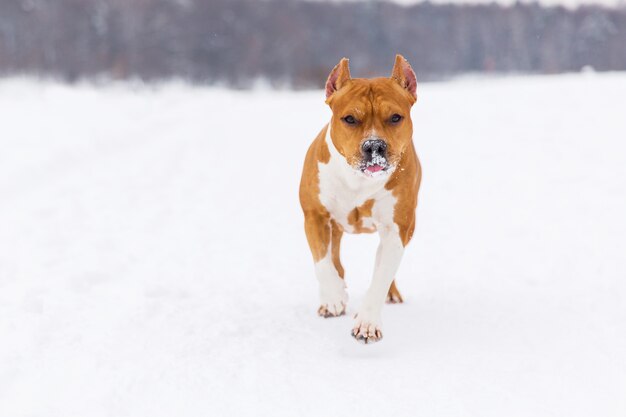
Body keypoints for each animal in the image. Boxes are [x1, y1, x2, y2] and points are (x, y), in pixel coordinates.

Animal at [298, 54, 420, 342]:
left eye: (395, 117)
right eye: (350, 119)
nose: (374, 145)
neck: (358, 181)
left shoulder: (396, 228)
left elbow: (381, 276)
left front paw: (367, 322)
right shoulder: (315, 217)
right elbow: (322, 262)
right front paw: (333, 297)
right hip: (334, 227)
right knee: (334, 259)